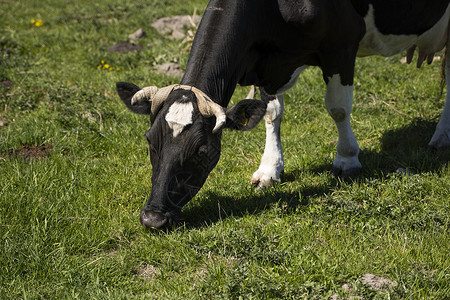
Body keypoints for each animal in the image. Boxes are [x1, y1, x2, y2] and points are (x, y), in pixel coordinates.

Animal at [117, 0, 450, 229]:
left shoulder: (341, 44)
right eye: (150, 141)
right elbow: (271, 112)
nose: (153, 218)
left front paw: (346, 159)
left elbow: (338, 108)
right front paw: (269, 169)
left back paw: (441, 137)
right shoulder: (270, 64)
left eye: (201, 149)